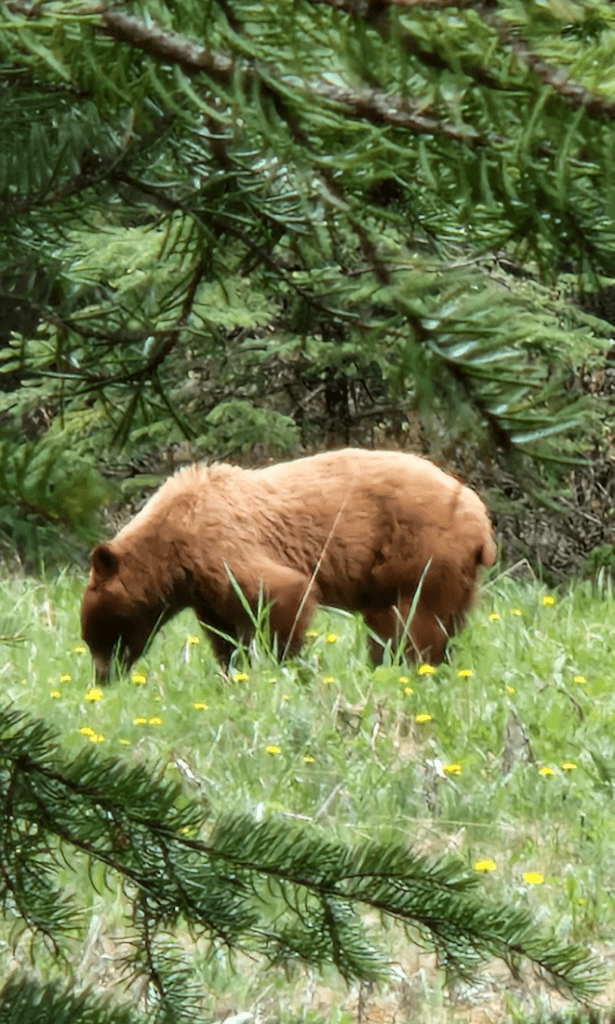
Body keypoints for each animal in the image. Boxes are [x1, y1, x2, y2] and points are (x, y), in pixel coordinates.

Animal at [81, 448, 496, 678]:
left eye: (97, 635)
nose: (102, 678)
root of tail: (481, 520)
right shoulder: (204, 589)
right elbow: (224, 633)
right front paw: (231, 673)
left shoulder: (219, 545)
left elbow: (282, 593)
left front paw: (289, 665)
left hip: (423, 556)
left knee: (417, 625)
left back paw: (413, 670)